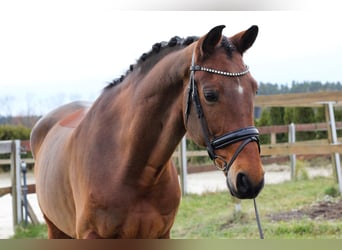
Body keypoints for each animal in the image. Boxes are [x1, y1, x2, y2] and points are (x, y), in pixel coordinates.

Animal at [30, 24, 264, 238]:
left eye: (254, 89)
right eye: (210, 94)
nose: (251, 179)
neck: (131, 170)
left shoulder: (162, 234)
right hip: (54, 228)